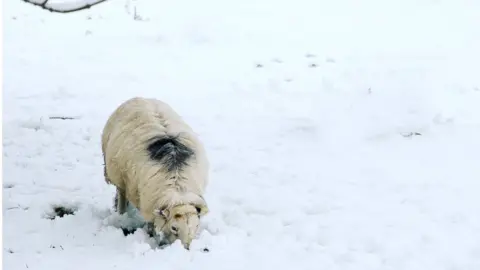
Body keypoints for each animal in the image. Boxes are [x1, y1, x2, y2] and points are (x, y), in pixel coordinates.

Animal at [102, 96, 209, 250]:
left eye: (196, 226)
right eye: (174, 228)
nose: (186, 249)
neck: (178, 189)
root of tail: (140, 97)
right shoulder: (148, 203)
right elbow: (151, 225)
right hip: (118, 174)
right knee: (121, 193)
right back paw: (121, 213)